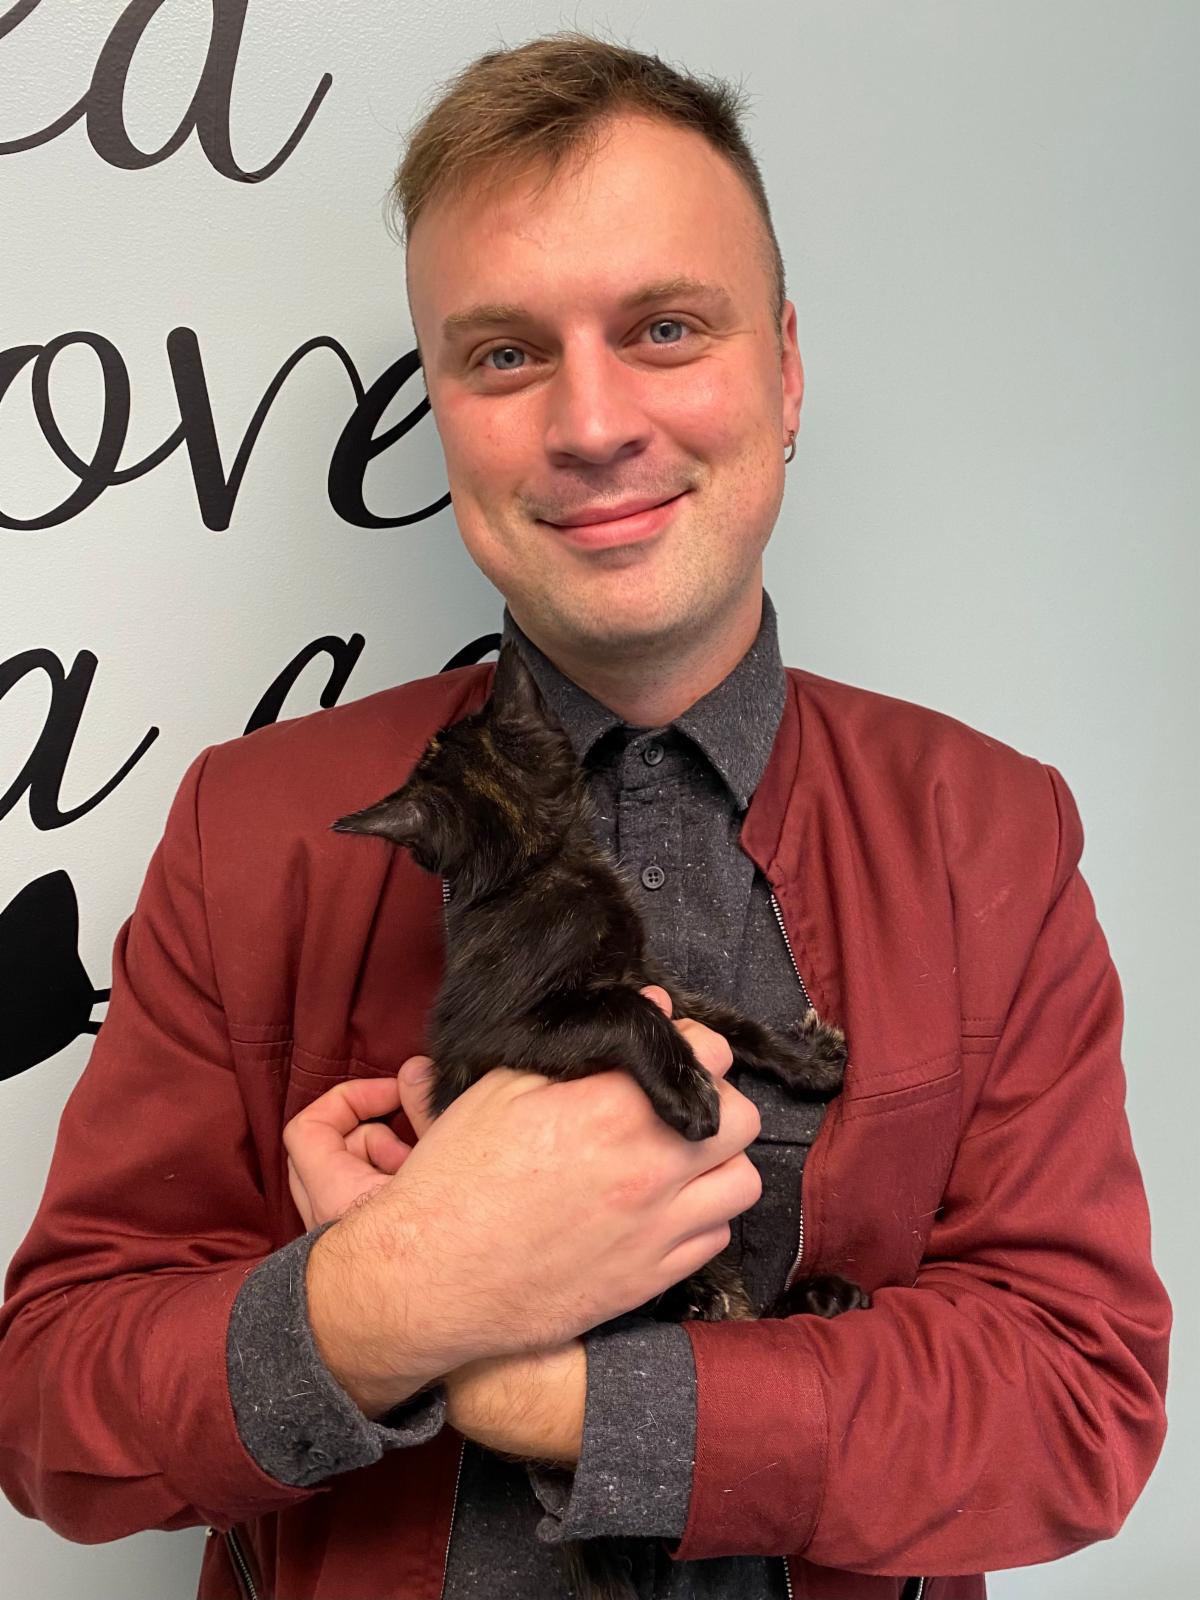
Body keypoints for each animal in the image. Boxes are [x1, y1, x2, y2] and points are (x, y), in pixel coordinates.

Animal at [332, 641, 870, 1600]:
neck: (535, 865)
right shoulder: (515, 1027)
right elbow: (627, 1014)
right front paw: (692, 1095)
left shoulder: (660, 977)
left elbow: (730, 1020)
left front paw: (805, 1061)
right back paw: (705, 1294)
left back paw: (815, 1295)